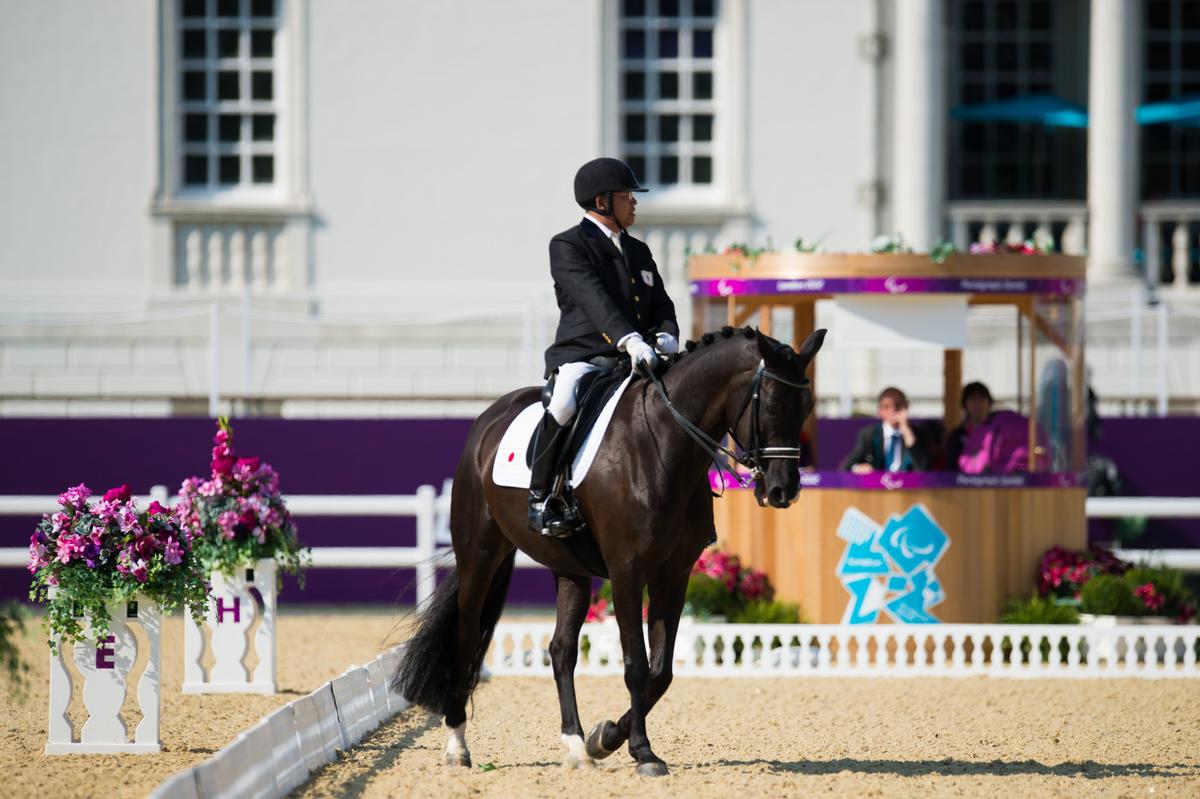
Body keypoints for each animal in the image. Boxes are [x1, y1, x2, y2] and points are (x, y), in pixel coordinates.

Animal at [393, 323, 825, 772]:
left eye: (808, 406)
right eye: (772, 405)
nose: (783, 491)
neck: (662, 444)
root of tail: (488, 418)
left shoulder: (674, 575)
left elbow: (660, 671)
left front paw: (607, 738)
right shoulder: (626, 570)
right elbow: (635, 663)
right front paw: (642, 751)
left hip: (571, 570)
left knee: (561, 650)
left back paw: (576, 746)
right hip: (479, 555)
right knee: (465, 636)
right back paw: (457, 745)